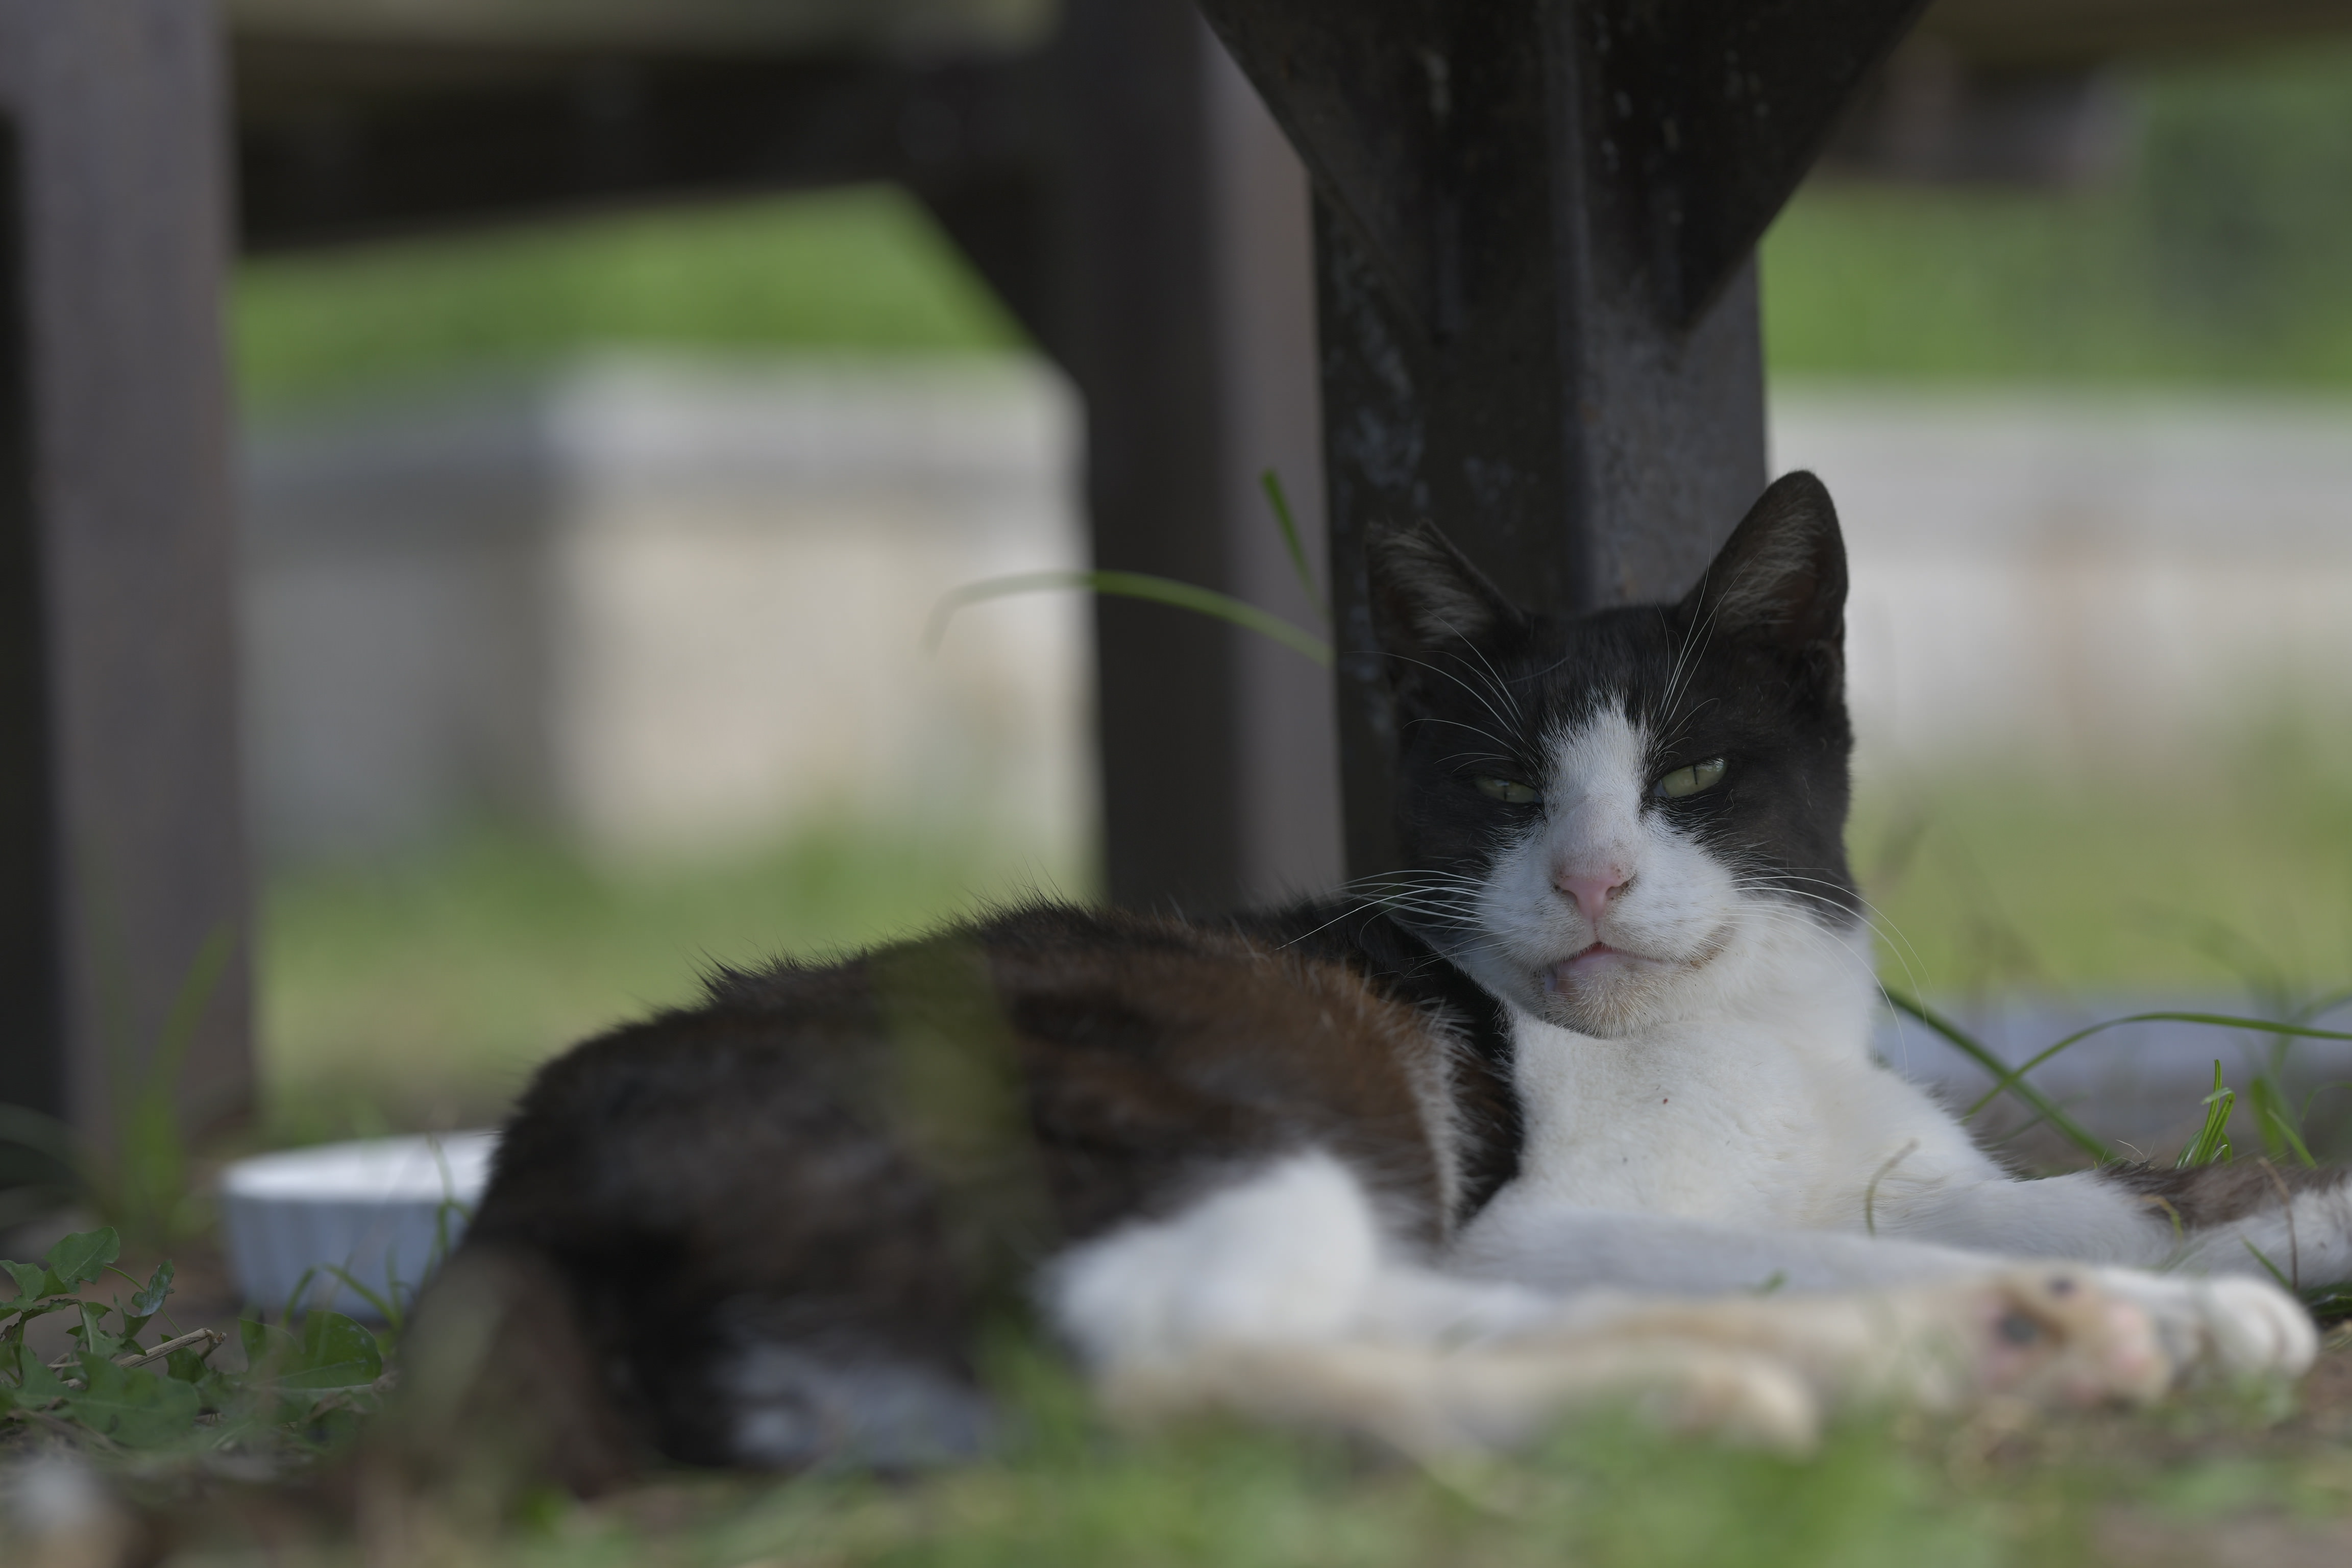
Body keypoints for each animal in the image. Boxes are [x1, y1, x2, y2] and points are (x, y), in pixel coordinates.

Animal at [393, 471, 2336, 1494]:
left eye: (1694, 775)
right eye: (1504, 788)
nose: (1593, 874)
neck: (1732, 1041)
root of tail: (527, 1190)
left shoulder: (1901, 1167)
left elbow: (2090, 1193)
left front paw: (2267, 1233)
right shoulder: (1536, 1207)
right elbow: (1822, 1235)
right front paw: (2149, 1285)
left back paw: (1964, 1346)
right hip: (1215, 1118)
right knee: (1165, 1365)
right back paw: (1881, 1361)